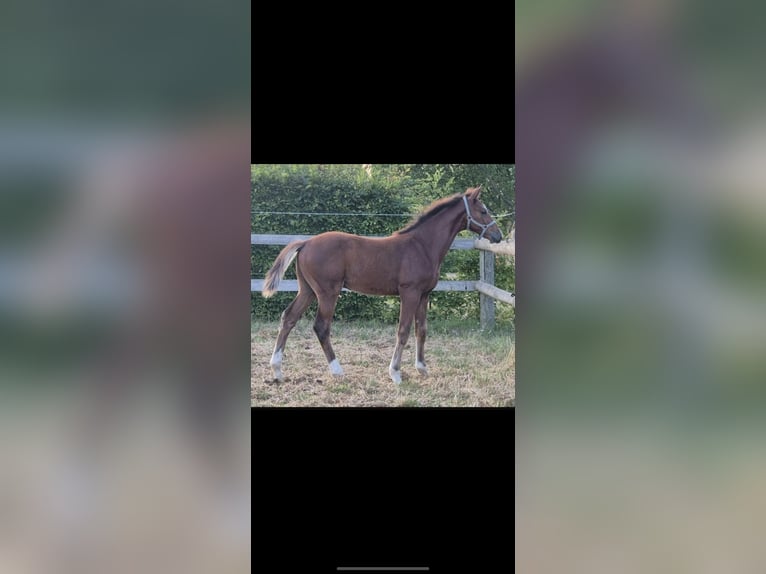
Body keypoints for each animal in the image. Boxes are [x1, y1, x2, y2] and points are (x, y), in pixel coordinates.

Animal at [261, 186, 503, 384]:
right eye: (483, 211)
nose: (498, 235)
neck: (422, 245)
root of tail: (306, 242)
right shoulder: (409, 293)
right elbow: (403, 330)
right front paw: (395, 373)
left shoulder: (424, 295)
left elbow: (421, 330)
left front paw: (422, 368)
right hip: (327, 292)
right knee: (321, 326)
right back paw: (337, 371)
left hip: (308, 290)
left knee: (289, 318)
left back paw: (277, 370)